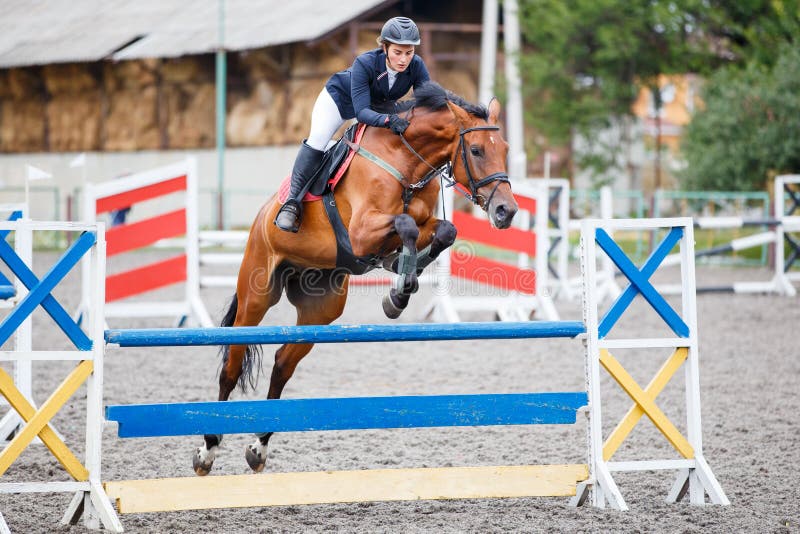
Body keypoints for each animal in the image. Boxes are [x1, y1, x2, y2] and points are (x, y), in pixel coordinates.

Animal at [193, 81, 520, 476]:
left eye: (504, 149)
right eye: (475, 150)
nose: (506, 211)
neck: (406, 161)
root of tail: (261, 217)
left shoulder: (423, 224)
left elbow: (444, 231)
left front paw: (400, 287)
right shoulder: (363, 232)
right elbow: (406, 225)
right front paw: (398, 291)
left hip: (320, 309)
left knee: (283, 364)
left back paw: (259, 448)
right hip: (255, 297)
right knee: (232, 365)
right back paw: (208, 450)